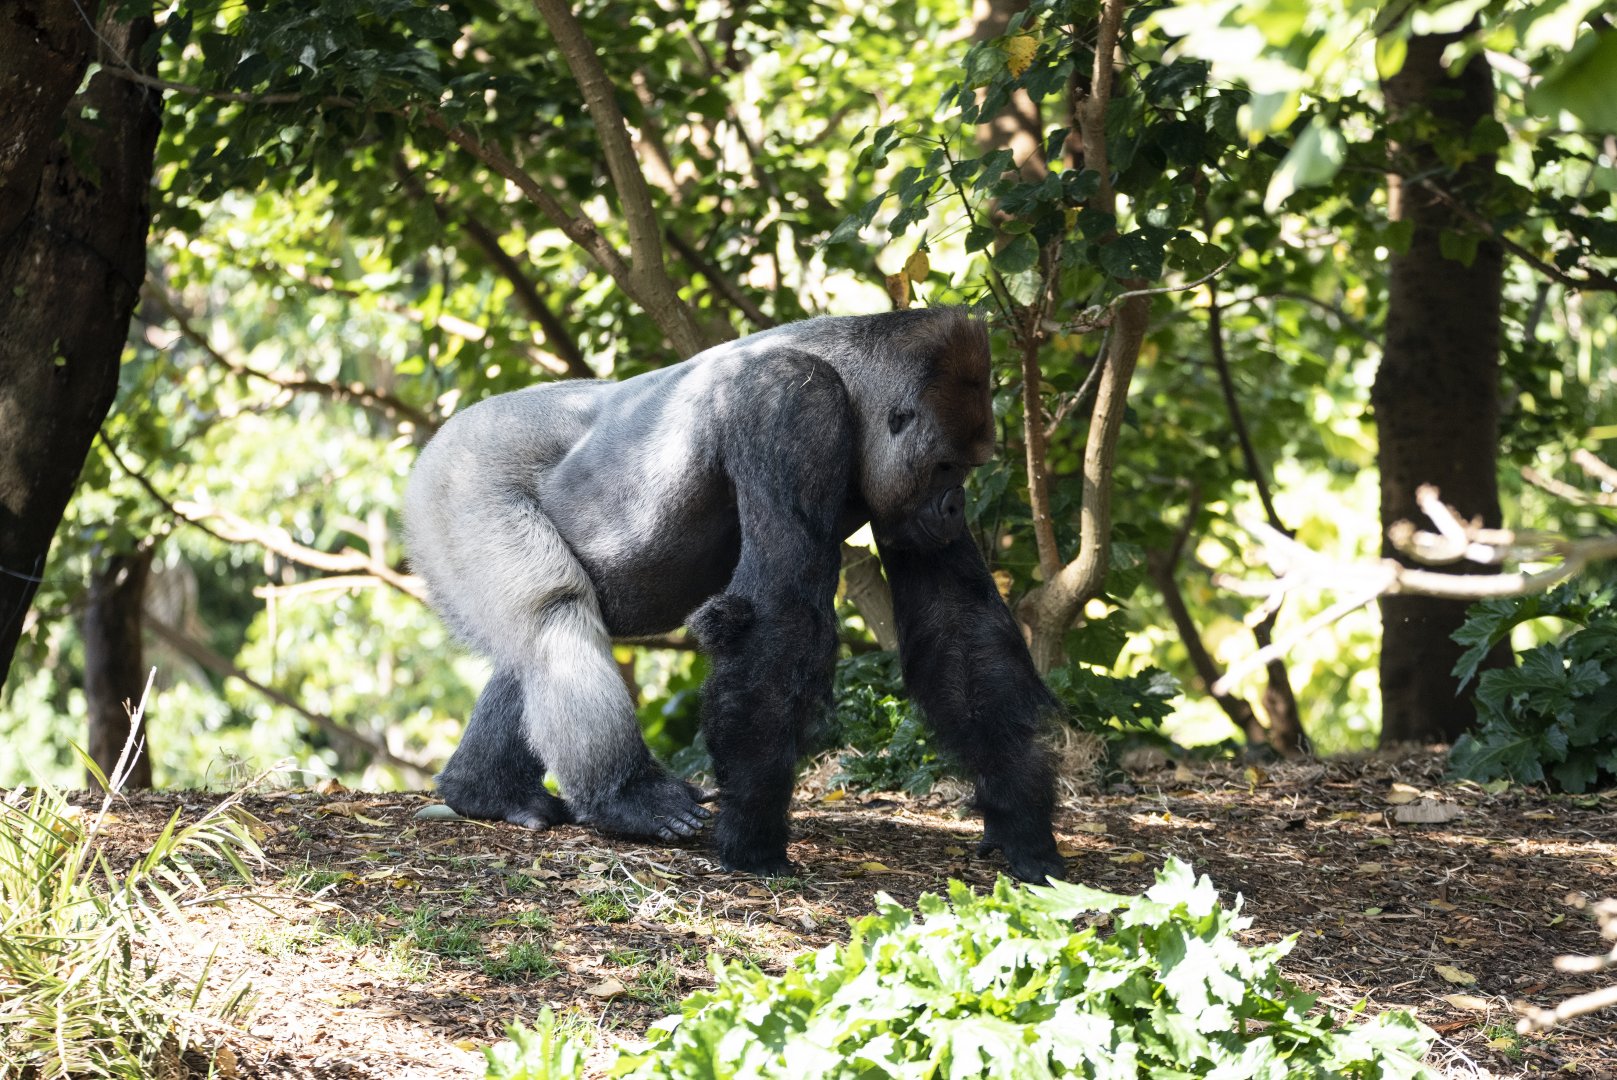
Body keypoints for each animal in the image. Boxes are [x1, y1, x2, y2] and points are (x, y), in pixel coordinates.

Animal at [403, 307, 1065, 882]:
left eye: (968, 469)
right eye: (945, 467)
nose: (955, 508)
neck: (851, 381)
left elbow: (957, 633)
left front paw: (1022, 822)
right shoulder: (793, 404)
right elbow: (778, 618)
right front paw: (752, 837)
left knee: (535, 642)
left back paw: (485, 790)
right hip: (459, 478)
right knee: (554, 615)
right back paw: (624, 796)